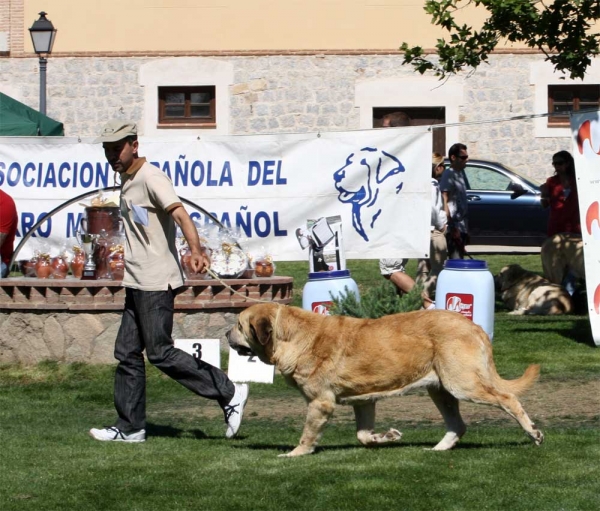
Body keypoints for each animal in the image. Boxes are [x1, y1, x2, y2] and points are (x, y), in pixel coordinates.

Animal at [227, 302, 548, 458]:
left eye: (239, 325)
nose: (227, 334)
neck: (292, 337)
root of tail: (474, 325)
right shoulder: (364, 401)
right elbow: (364, 435)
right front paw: (389, 437)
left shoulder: (320, 403)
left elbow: (308, 434)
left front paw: (295, 454)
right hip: (441, 391)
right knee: (458, 425)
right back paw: (438, 449)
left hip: (463, 384)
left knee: (508, 399)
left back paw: (533, 433)